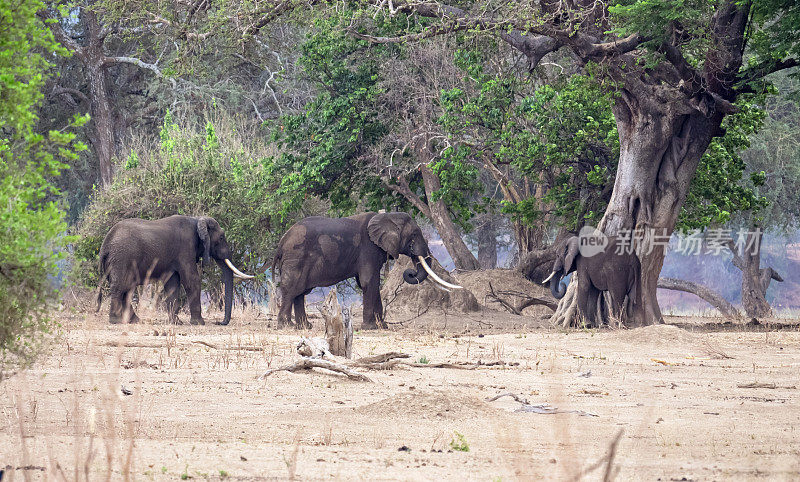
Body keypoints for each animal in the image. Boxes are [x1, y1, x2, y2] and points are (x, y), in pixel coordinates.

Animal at [97, 217, 253, 326]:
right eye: (221, 238)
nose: (219, 322)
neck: (197, 220)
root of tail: (105, 244)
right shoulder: (186, 248)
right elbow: (192, 280)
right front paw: (199, 323)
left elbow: (172, 285)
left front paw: (176, 323)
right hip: (121, 258)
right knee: (120, 287)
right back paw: (115, 320)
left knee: (126, 289)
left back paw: (135, 321)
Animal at [272, 212, 460, 330]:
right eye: (413, 235)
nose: (410, 272)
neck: (387, 216)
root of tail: (281, 243)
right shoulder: (368, 249)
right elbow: (370, 281)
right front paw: (370, 327)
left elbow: (371, 284)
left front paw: (382, 326)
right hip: (296, 256)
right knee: (292, 289)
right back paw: (286, 326)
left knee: (300, 291)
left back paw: (304, 327)